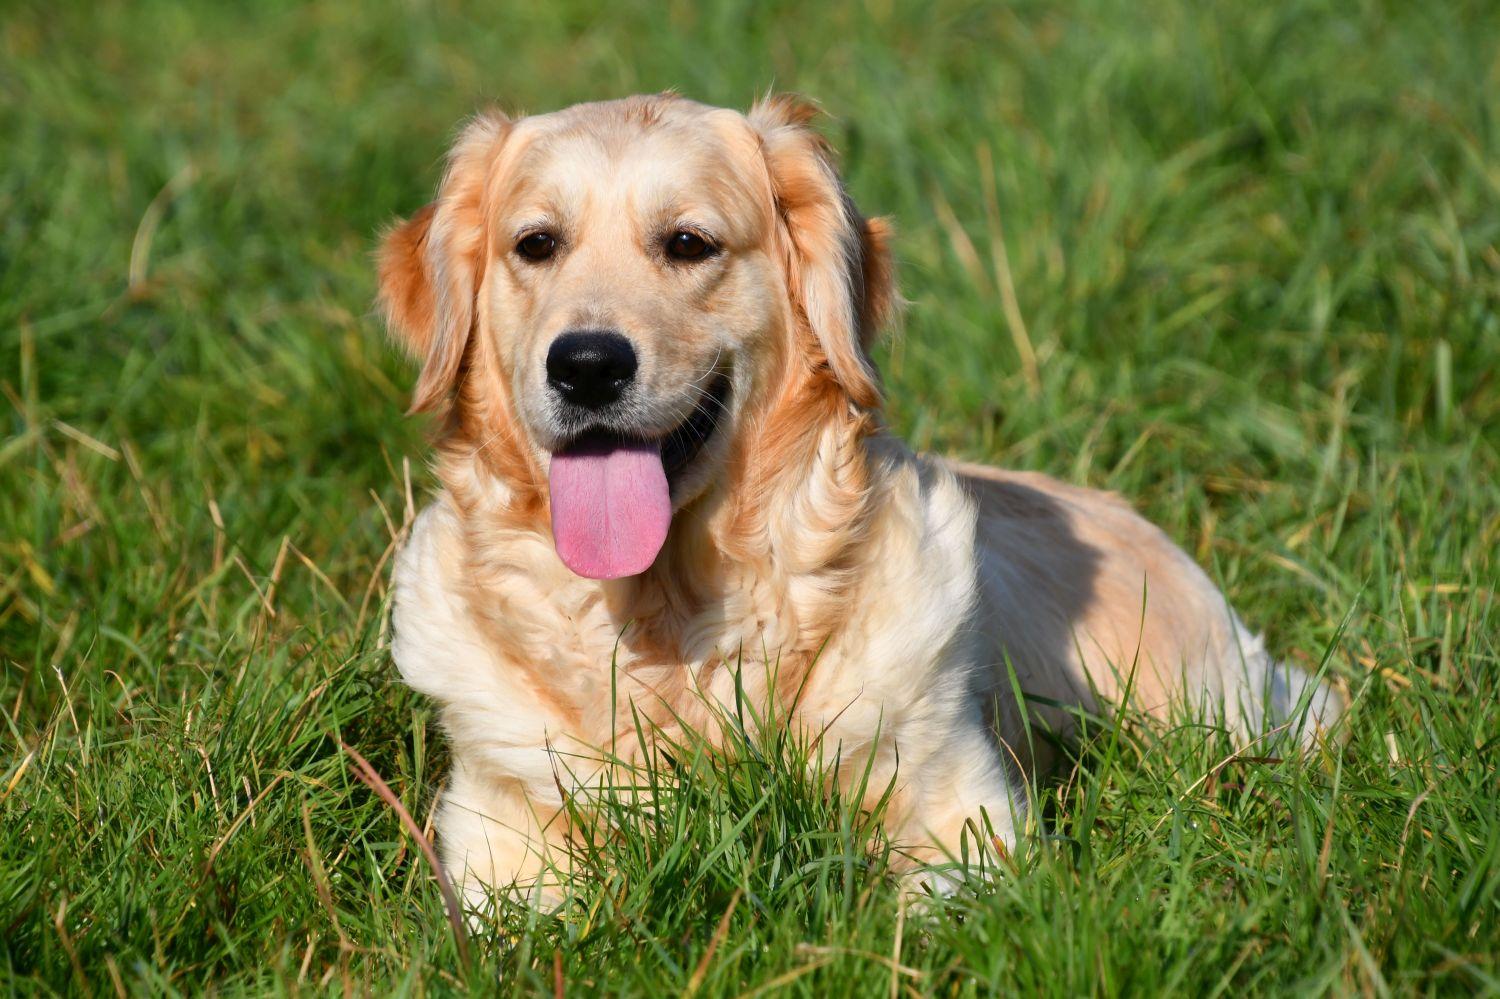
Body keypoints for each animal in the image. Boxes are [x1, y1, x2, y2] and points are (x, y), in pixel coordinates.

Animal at [381, 93, 1344, 900]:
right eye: (536, 244)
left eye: (689, 243)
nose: (586, 364)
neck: (672, 628)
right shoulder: (499, 835)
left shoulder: (964, 814)